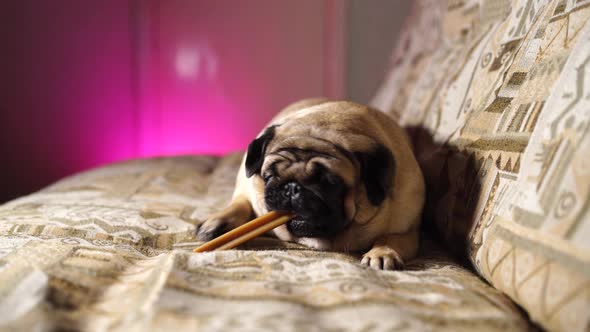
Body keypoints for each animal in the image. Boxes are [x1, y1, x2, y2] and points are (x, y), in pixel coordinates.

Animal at [198, 99, 426, 270]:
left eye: (329, 183)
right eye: (270, 175)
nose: (292, 188)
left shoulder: (408, 231)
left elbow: (391, 238)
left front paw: (382, 252)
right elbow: (242, 203)